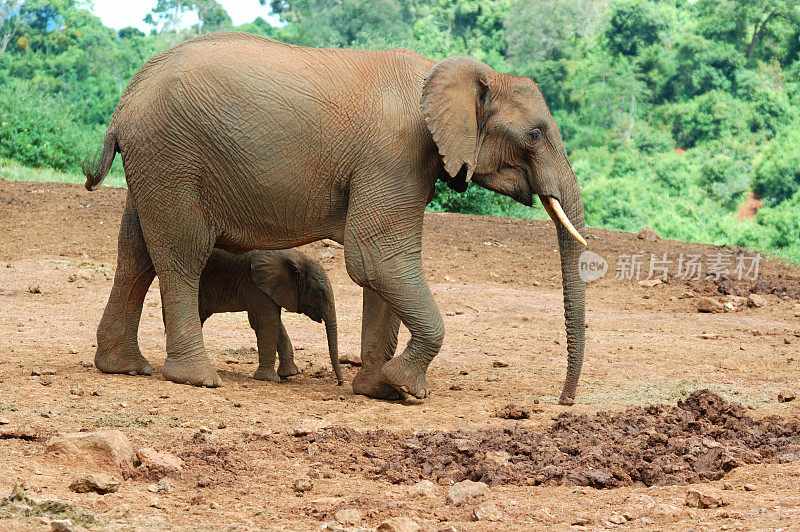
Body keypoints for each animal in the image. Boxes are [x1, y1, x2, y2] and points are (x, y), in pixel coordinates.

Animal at [198, 247, 342, 384]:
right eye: (320, 293)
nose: (340, 382)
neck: (298, 259)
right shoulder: (255, 284)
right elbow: (268, 322)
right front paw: (268, 378)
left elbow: (272, 323)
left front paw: (291, 373)